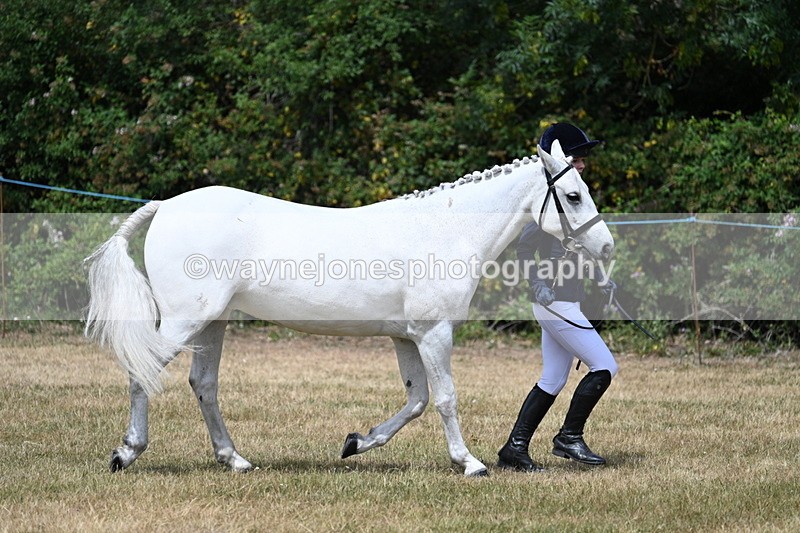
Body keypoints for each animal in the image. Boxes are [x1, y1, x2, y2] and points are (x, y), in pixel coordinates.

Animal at [84, 140, 614, 477]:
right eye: (572, 195)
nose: (606, 247)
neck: (444, 230)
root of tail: (166, 205)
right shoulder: (434, 333)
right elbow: (445, 398)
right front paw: (469, 463)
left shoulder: (406, 336)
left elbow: (416, 400)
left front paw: (357, 443)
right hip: (184, 321)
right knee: (142, 373)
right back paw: (126, 454)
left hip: (212, 323)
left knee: (204, 385)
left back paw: (234, 460)